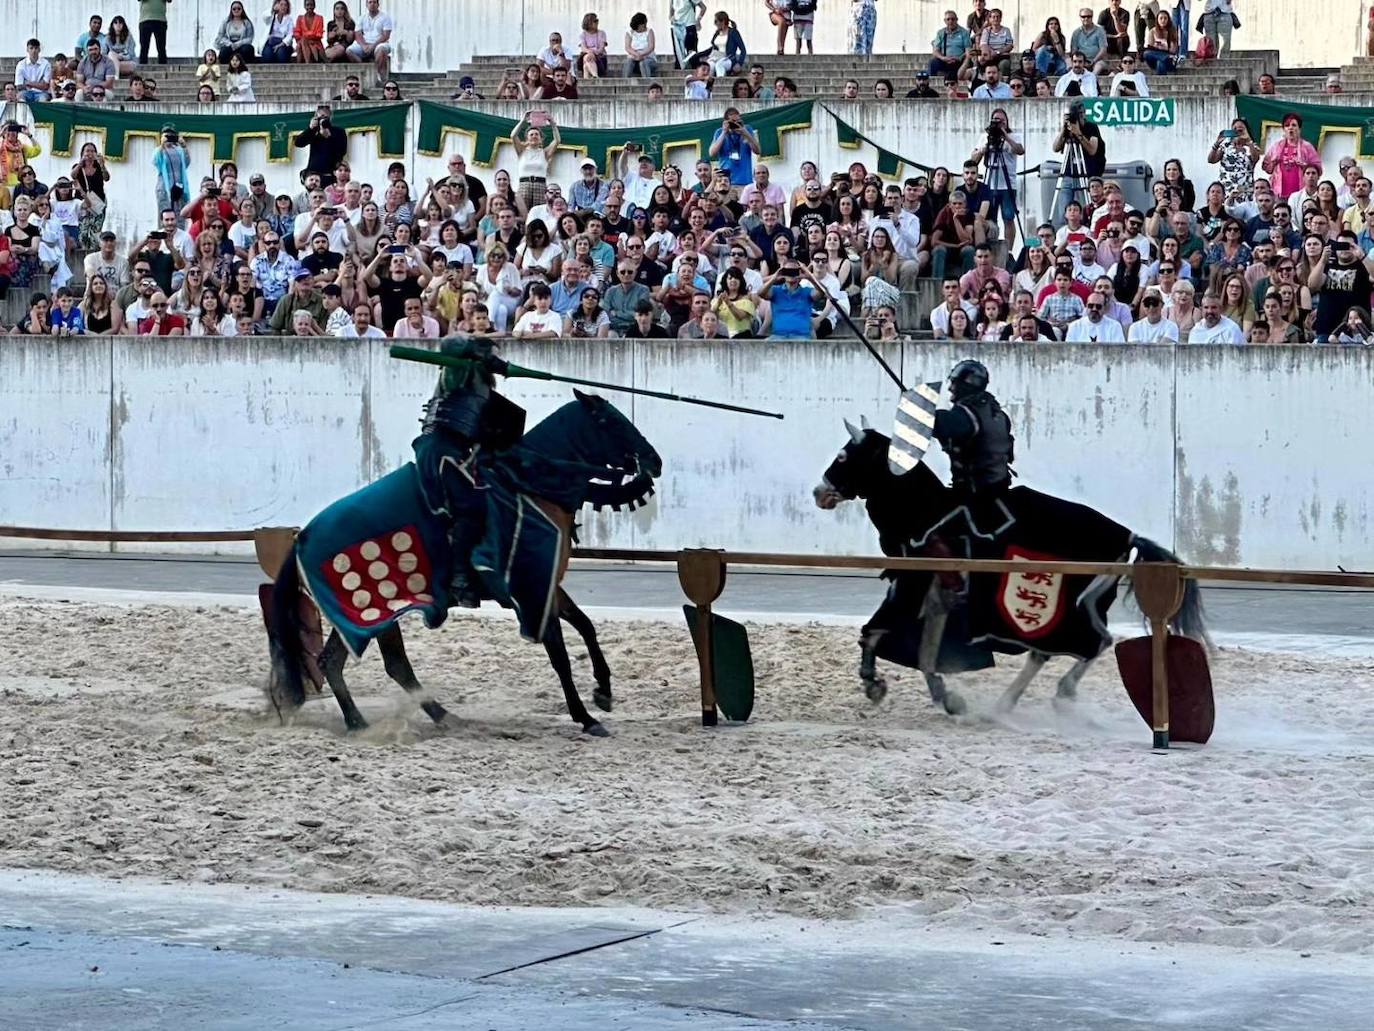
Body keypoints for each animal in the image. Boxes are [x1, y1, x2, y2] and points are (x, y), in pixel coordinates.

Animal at [265, 390, 662, 736]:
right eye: (609, 421)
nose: (653, 461)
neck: (529, 483)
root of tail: (303, 538)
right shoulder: (532, 591)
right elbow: (559, 655)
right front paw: (585, 717)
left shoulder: (550, 587)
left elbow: (586, 625)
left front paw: (603, 692)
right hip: (372, 609)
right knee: (364, 663)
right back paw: (363, 723)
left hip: (368, 615)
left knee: (368, 663)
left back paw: (429, 717)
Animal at [807, 420, 1209, 720]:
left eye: (844, 456)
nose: (819, 493)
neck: (927, 513)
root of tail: (1128, 535)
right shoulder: (935, 597)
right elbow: (923, 651)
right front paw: (946, 698)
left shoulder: (912, 588)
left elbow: (875, 632)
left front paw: (874, 683)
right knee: (1045, 652)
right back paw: (1006, 703)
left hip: (1076, 610)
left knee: (1096, 642)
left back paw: (1061, 693)